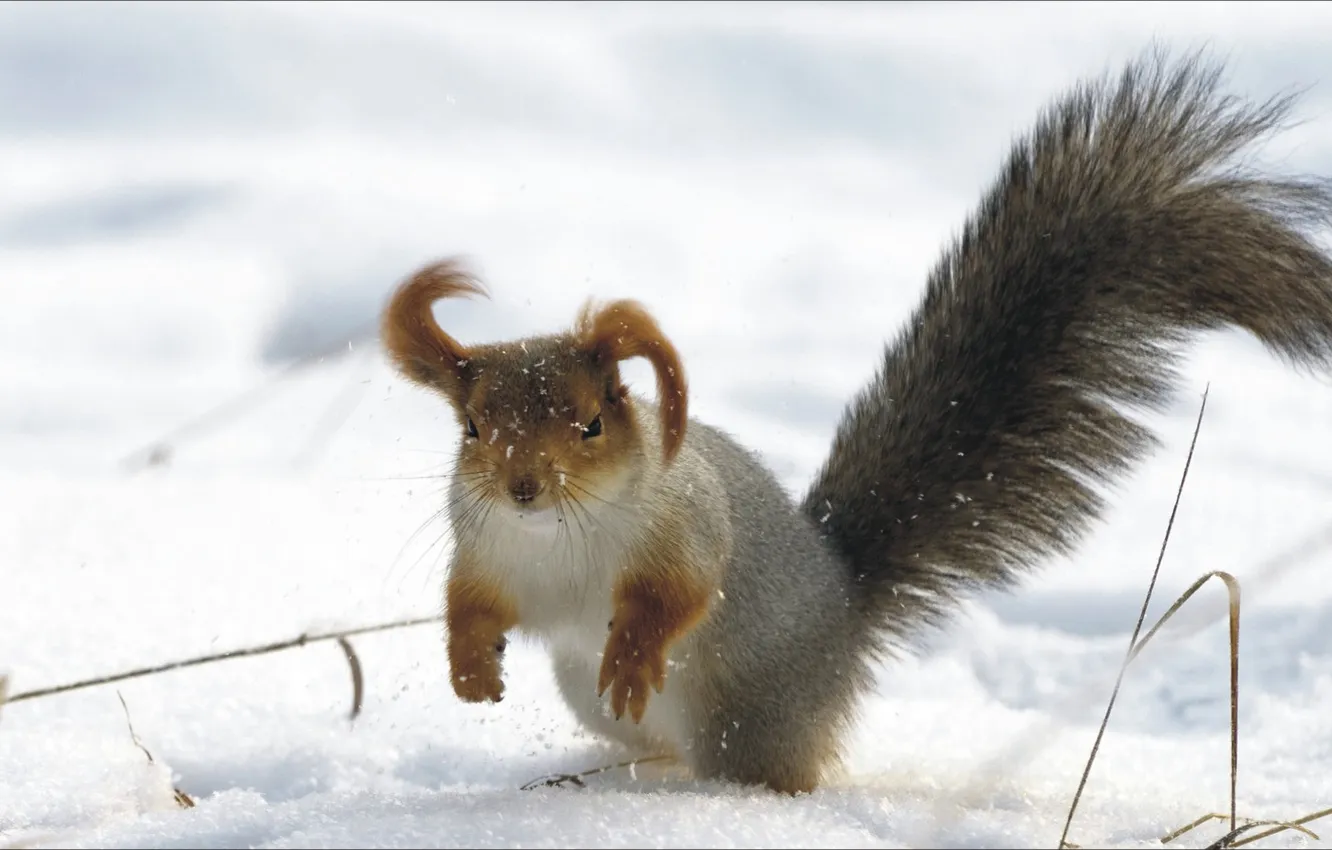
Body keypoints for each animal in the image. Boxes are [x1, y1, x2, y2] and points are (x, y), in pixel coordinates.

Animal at [379, 50, 1332, 795]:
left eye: (588, 424)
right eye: (471, 430)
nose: (523, 488)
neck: (556, 540)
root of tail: (844, 609)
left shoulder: (682, 525)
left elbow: (678, 593)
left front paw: (635, 651)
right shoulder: (486, 547)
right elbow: (467, 605)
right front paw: (470, 671)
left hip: (750, 714)